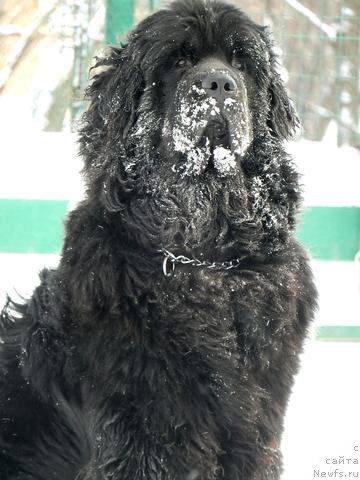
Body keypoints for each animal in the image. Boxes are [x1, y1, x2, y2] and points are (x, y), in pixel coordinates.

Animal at [0, 0, 316, 480]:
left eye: (241, 63)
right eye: (179, 62)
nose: (218, 83)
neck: (205, 261)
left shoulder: (255, 431)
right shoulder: (144, 440)